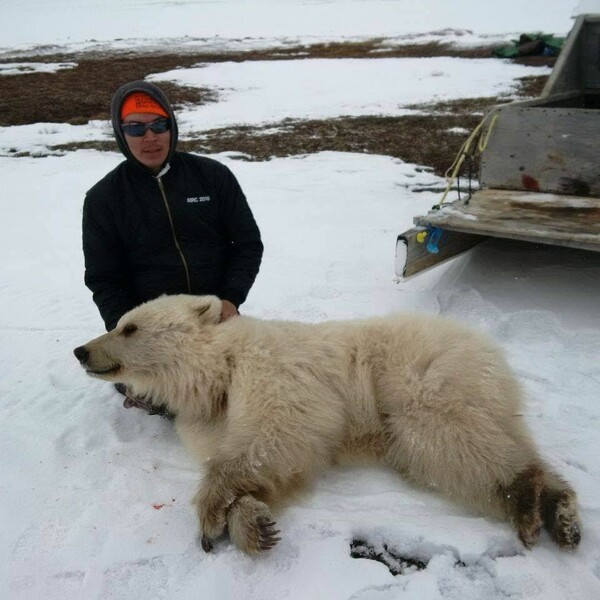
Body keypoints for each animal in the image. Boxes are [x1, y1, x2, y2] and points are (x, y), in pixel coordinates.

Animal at [71, 296, 580, 552]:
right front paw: (253, 525)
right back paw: (560, 512)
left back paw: (527, 498)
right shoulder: (210, 419)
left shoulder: (274, 373)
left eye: (129, 327)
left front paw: (211, 514)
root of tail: (487, 348)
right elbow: (256, 462)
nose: (81, 350)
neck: (219, 372)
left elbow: (279, 435)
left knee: (440, 439)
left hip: (418, 379)